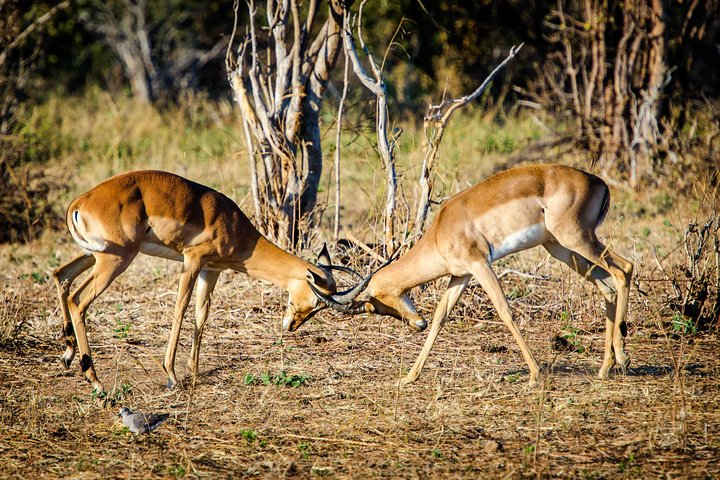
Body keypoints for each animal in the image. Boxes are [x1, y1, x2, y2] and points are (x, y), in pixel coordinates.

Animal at [52, 170, 363, 393]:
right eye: (316, 301)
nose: (291, 326)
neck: (237, 229)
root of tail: (80, 202)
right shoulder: (192, 260)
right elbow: (180, 310)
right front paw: (171, 375)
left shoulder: (211, 271)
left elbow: (201, 317)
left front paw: (194, 373)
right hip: (115, 260)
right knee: (78, 299)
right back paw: (95, 380)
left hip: (95, 256)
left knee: (61, 274)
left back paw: (68, 356)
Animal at [310, 164, 633, 387]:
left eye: (375, 304)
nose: (416, 324)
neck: (440, 229)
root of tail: (599, 182)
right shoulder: (460, 276)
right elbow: (440, 318)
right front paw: (409, 377)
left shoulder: (480, 264)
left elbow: (505, 311)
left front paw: (535, 375)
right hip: (559, 248)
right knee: (607, 285)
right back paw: (606, 368)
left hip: (577, 239)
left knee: (624, 269)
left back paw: (622, 358)